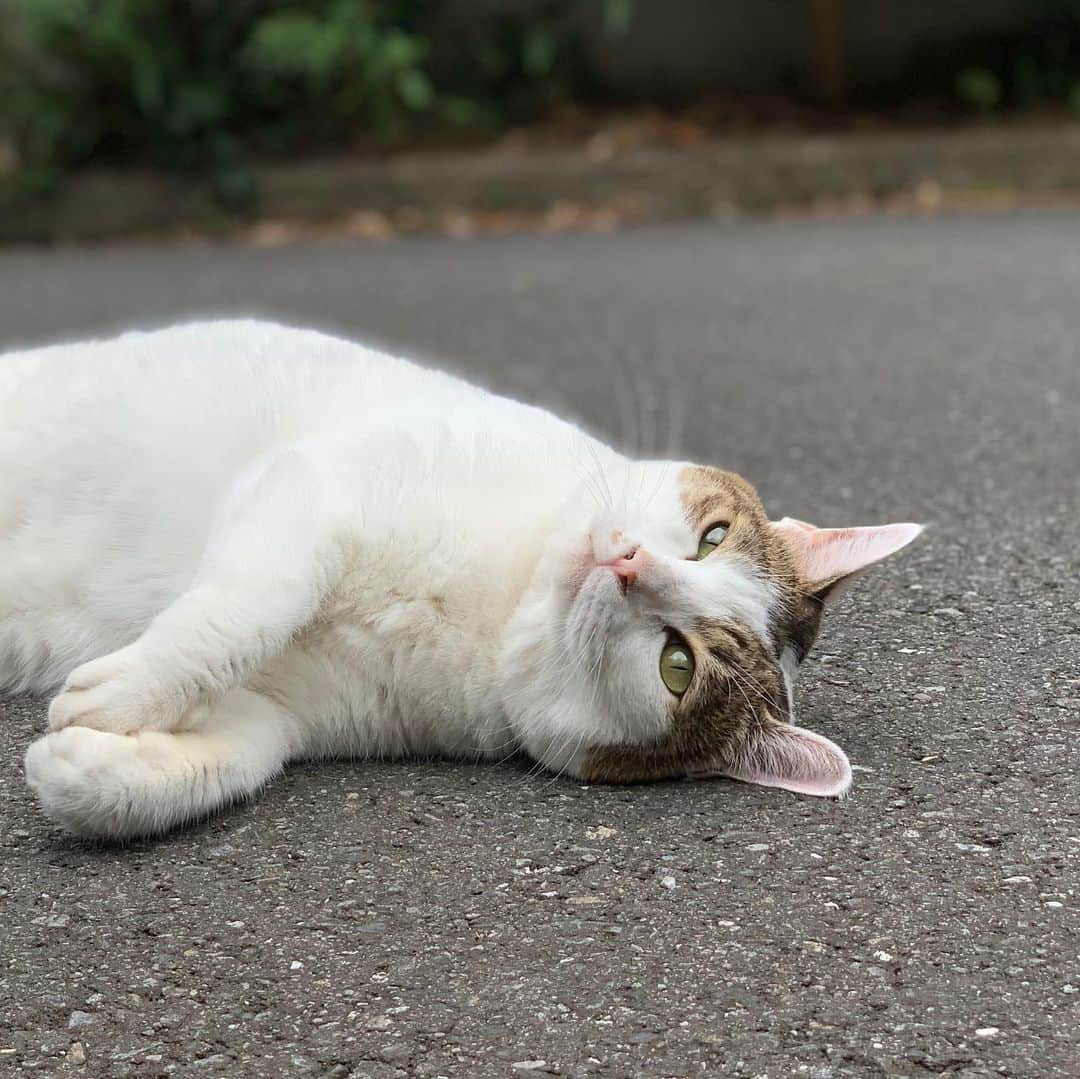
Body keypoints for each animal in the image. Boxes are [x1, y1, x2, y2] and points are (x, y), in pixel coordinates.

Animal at [4, 315, 924, 838]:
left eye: (676, 663)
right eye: (712, 537)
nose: (627, 562)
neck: (497, 613)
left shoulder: (290, 709)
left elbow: (228, 761)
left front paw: (84, 764)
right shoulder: (309, 492)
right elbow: (247, 609)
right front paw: (122, 695)